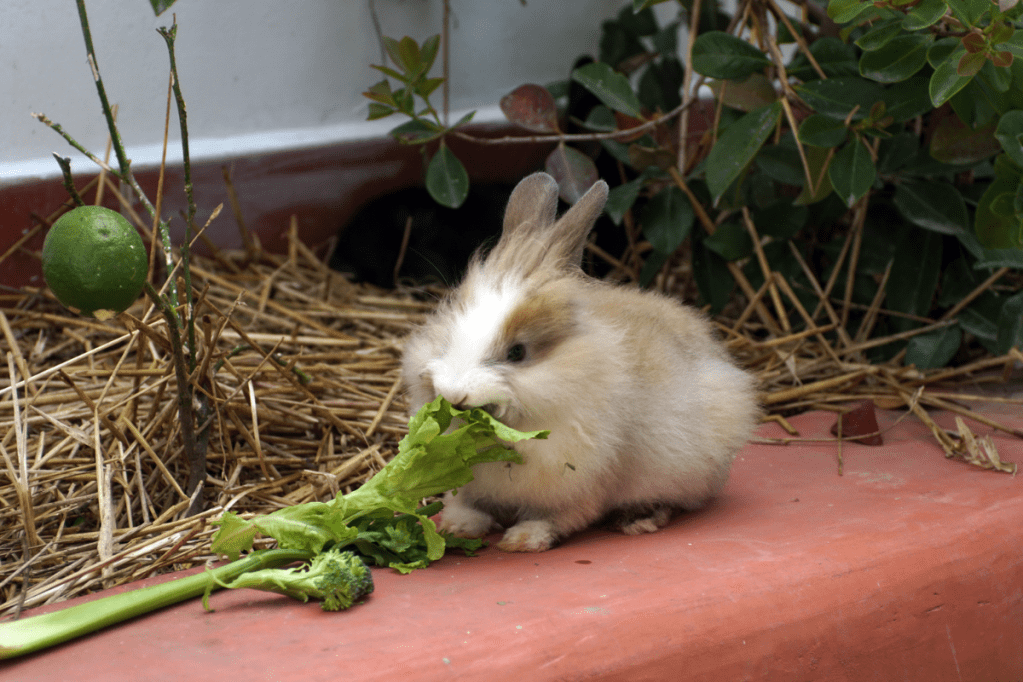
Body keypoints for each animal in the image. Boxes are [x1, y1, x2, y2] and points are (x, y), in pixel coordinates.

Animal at [401, 172, 759, 552]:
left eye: (517, 353)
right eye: (448, 335)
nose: (454, 394)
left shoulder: (581, 483)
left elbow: (561, 517)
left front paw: (523, 539)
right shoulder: (471, 485)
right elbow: (468, 503)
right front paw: (458, 527)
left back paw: (639, 518)